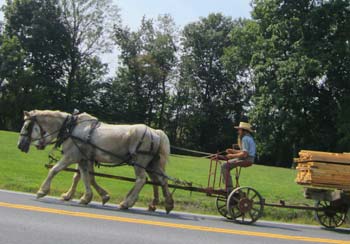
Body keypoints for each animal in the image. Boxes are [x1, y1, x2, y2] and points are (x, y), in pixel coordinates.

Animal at [17, 109, 174, 213]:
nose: (20, 145)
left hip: (139, 161)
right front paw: (87, 197)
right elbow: (84, 177)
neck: (71, 128)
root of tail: (155, 132)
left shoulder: (71, 156)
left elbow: (54, 170)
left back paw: (126, 202)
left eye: (27, 126)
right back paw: (167, 204)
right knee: (161, 180)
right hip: (152, 163)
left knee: (142, 180)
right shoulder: (83, 158)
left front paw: (42, 191)